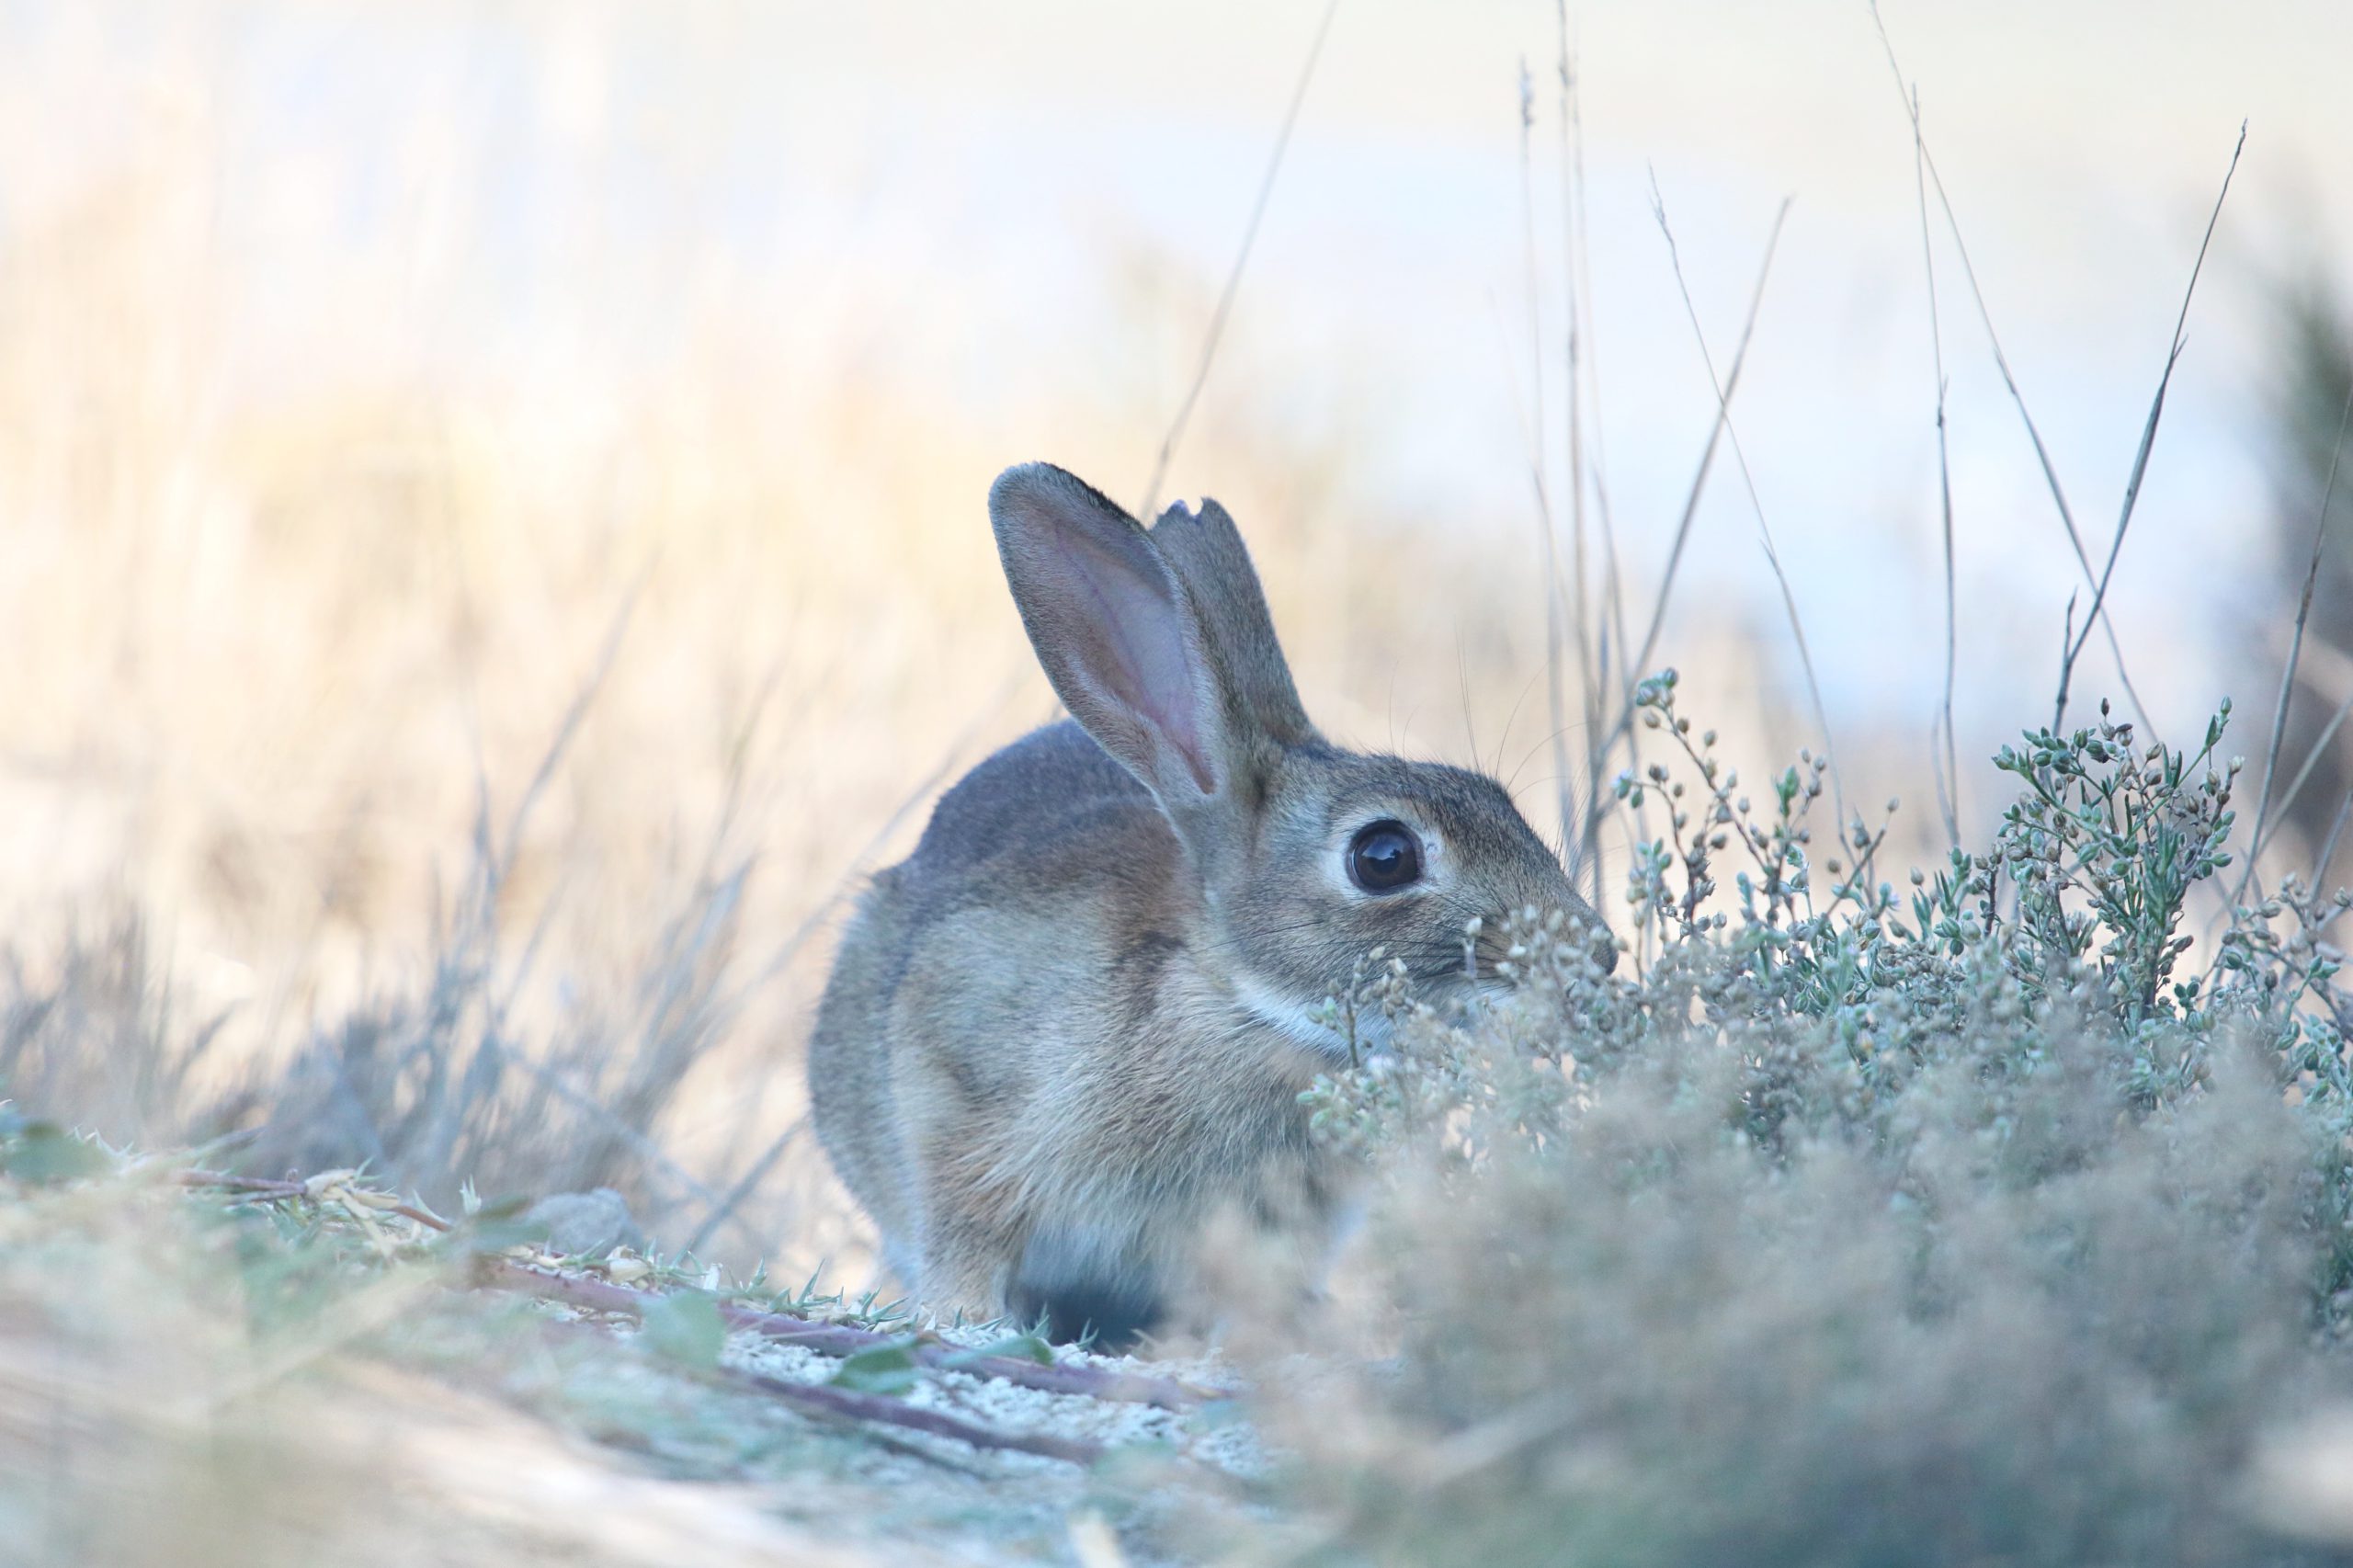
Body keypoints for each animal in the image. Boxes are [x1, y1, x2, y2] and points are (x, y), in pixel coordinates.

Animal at [800, 454, 1609, 1346]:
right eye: (1384, 857)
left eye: (1501, 800)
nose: (1594, 951)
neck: (1243, 1006)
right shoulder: (954, 1089)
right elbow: (966, 1225)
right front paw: (968, 1319)